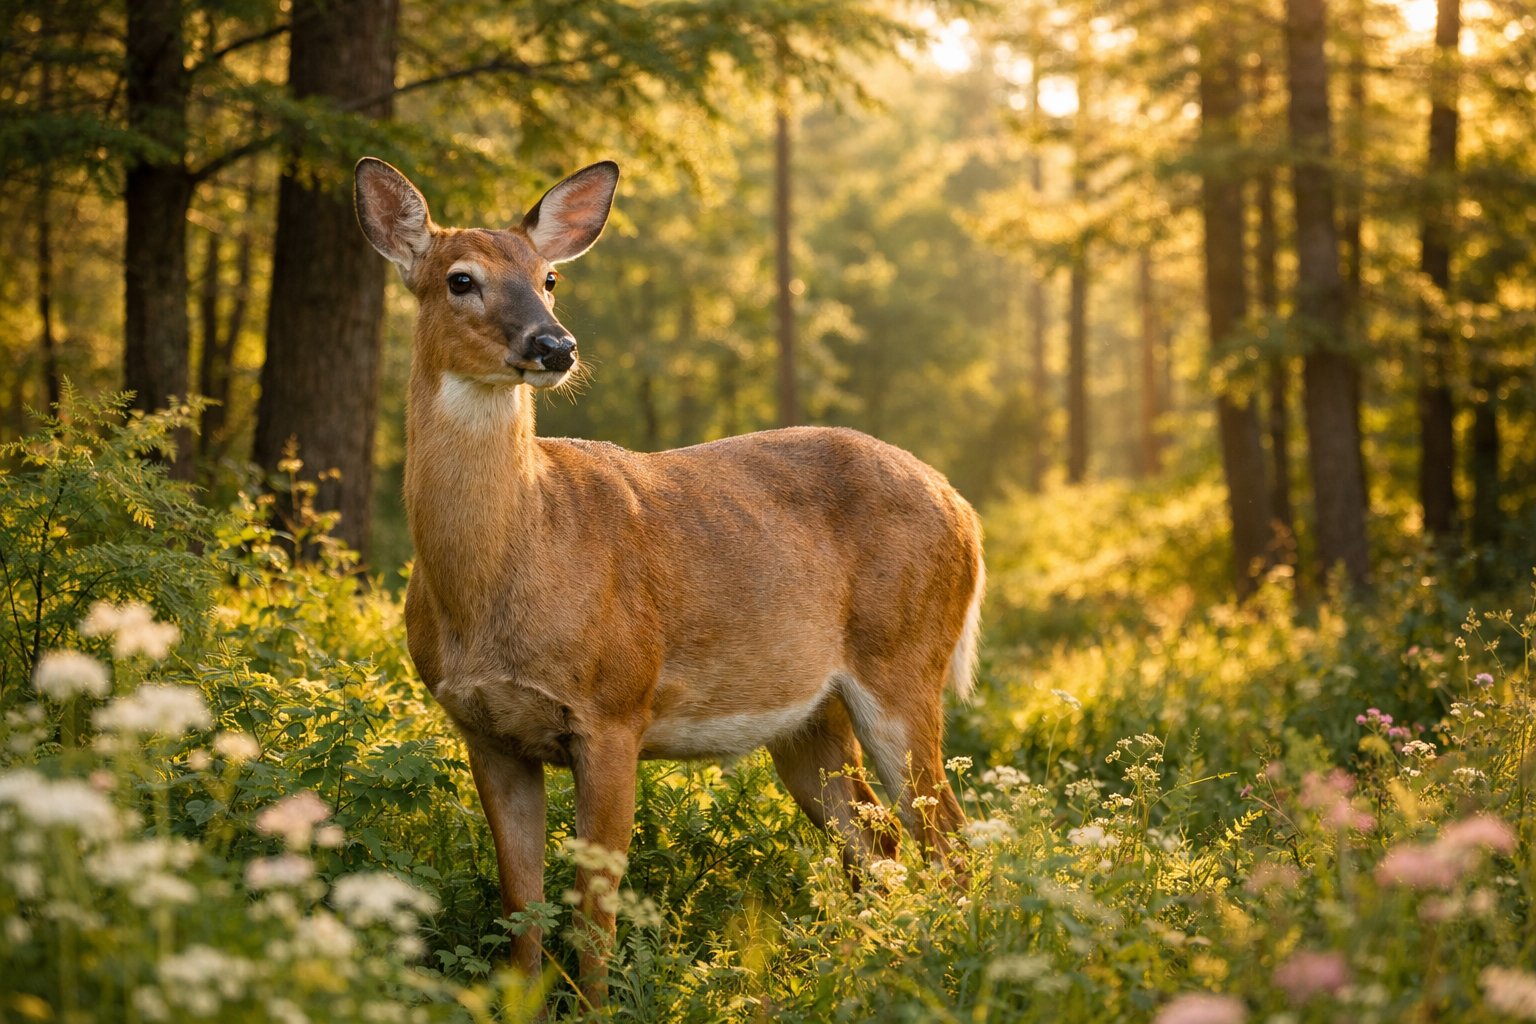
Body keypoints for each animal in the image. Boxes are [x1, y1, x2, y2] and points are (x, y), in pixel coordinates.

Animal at [353, 156, 985, 1005]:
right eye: (461, 280)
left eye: (549, 277)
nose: (555, 345)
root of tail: (963, 507)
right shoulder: (483, 730)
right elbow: (521, 906)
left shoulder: (615, 707)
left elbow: (595, 909)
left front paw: (593, 1009)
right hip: (809, 718)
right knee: (875, 841)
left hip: (903, 663)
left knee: (947, 838)